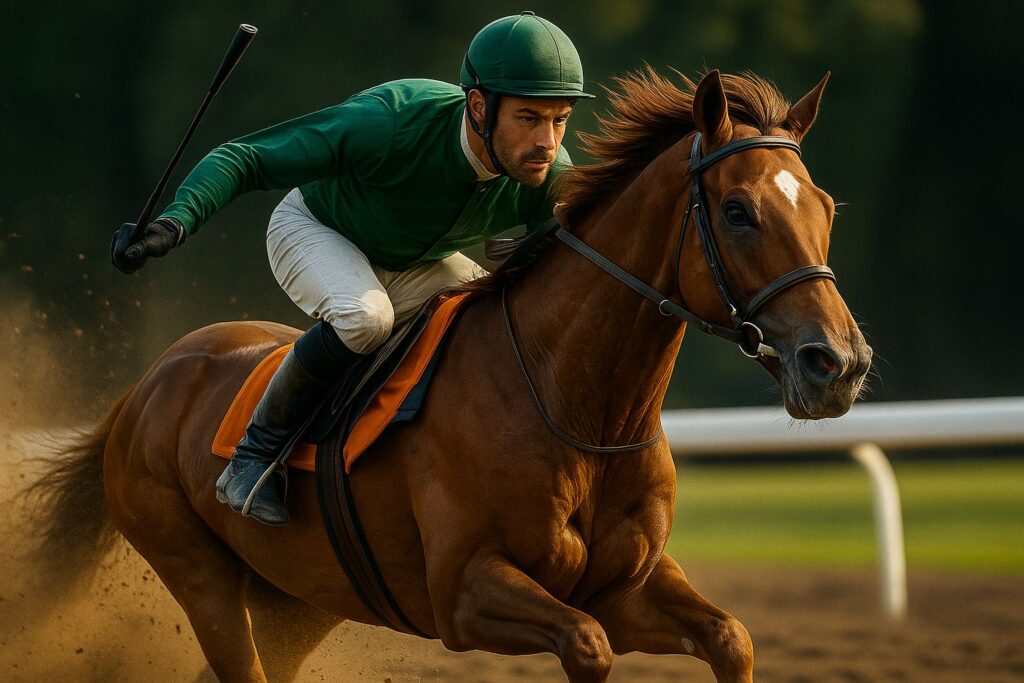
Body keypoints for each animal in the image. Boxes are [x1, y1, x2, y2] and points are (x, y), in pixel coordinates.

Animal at [30, 68, 871, 682]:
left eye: (827, 206)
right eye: (737, 211)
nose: (839, 363)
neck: (576, 404)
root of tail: (146, 385)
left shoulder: (625, 585)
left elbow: (731, 636)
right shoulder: (466, 593)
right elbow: (588, 643)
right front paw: (153, 234)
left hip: (299, 595)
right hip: (196, 570)